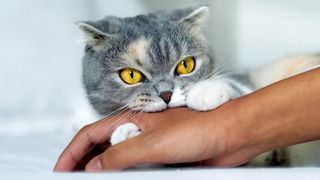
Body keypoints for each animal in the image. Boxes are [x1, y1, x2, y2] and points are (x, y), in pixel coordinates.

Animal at [77, 5, 320, 166]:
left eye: (186, 65)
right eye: (130, 75)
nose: (166, 94)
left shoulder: (244, 83)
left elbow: (230, 85)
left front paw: (204, 92)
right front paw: (124, 133)